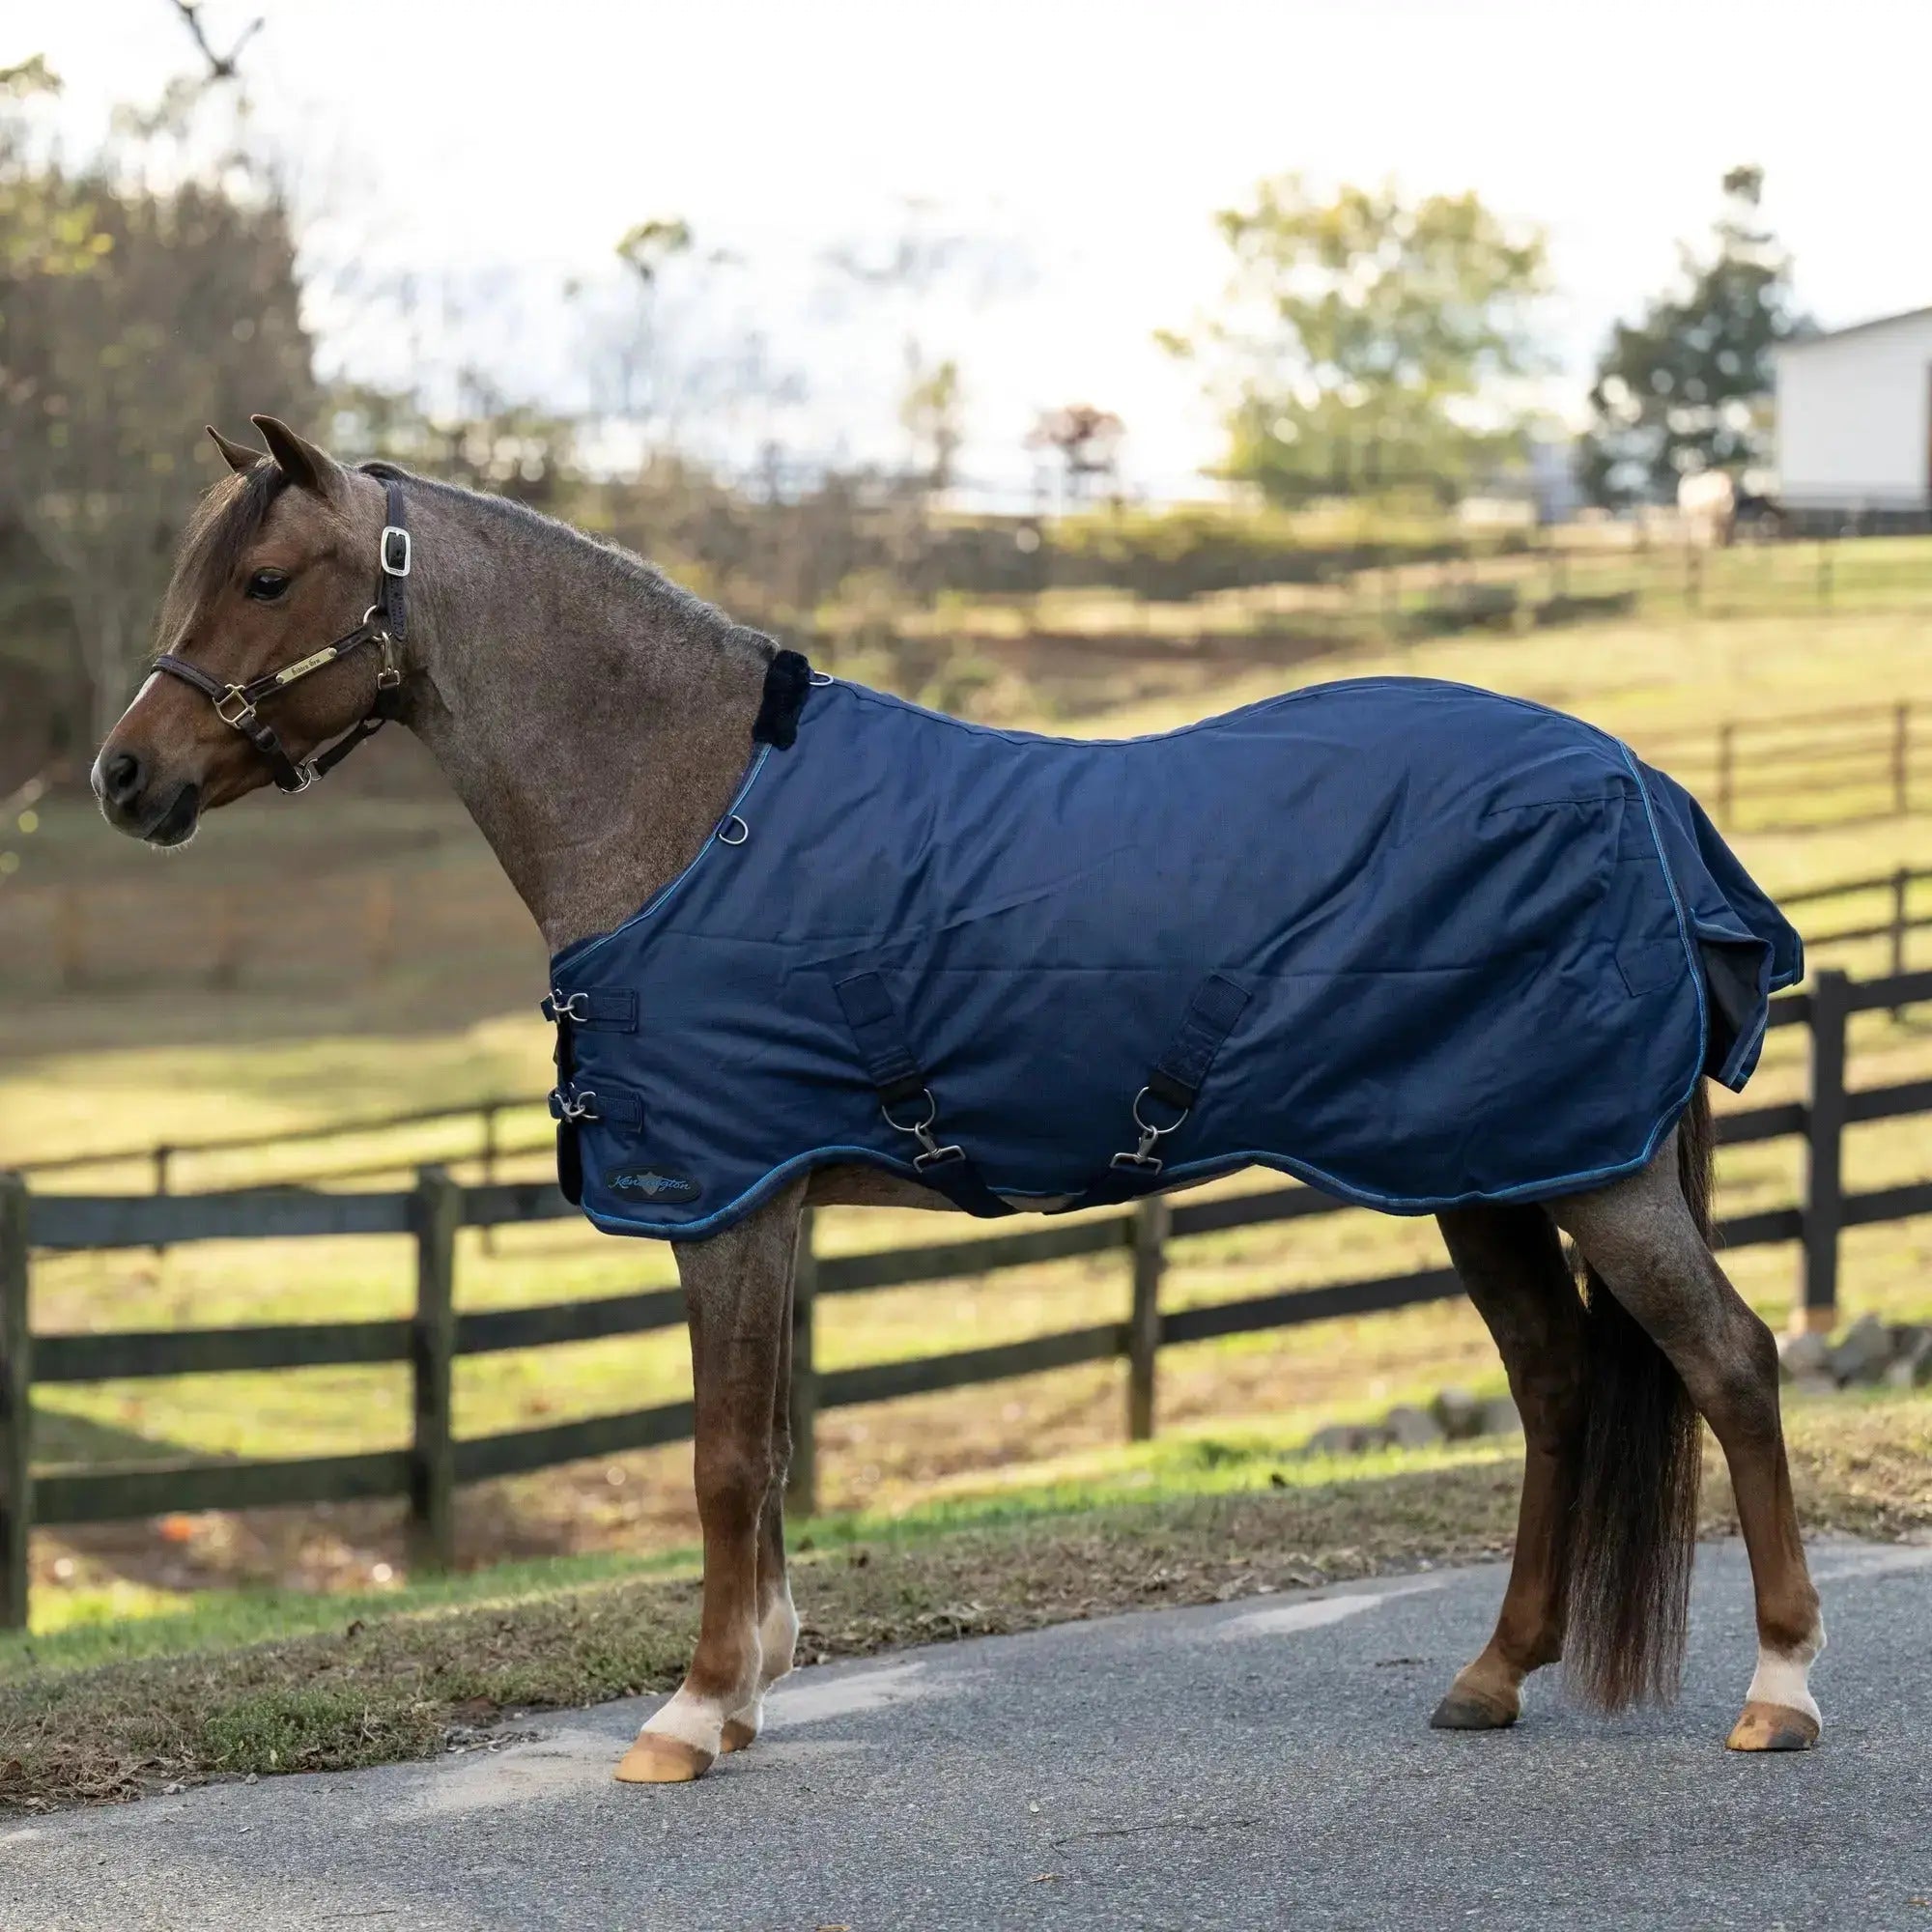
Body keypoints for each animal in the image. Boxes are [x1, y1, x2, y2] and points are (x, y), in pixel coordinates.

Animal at [92, 415, 1825, 1785]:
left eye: (266, 581)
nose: (125, 778)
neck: (689, 806)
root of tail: (1640, 787)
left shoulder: (725, 1205)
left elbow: (722, 1461)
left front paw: (690, 1716)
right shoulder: (772, 1196)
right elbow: (771, 1446)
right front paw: (750, 1689)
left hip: (1590, 1172)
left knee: (1732, 1365)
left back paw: (1781, 1689)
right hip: (1485, 1170)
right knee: (1558, 1388)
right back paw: (1494, 1674)